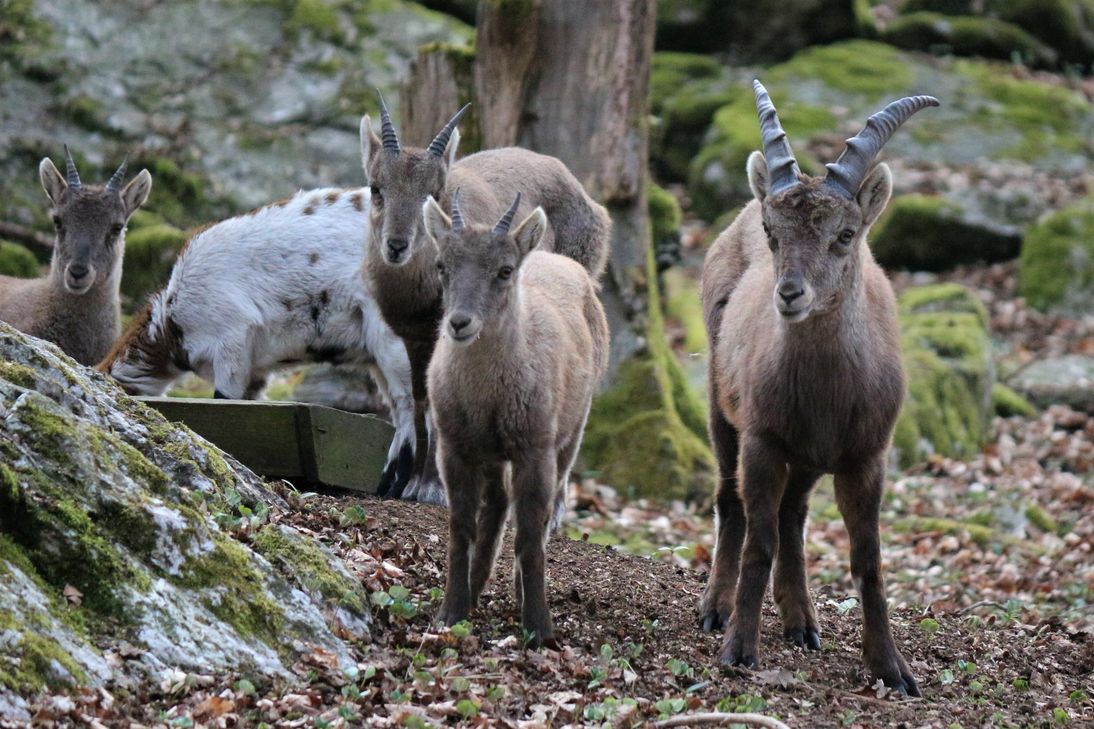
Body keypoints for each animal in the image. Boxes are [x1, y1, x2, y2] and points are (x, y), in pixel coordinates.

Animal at [99, 187, 418, 497]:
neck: (170, 319)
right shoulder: (255, 370)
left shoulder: (231, 339)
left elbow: (225, 402)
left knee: (410, 408)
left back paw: (396, 488)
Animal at [358, 94, 612, 505]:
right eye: (376, 188)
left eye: (433, 193)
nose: (397, 246)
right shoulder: (414, 338)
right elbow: (421, 401)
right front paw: (411, 485)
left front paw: (432, 488)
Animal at [422, 190, 609, 648]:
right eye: (442, 265)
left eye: (504, 270)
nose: (459, 323)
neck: (488, 395)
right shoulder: (454, 445)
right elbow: (461, 526)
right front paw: (450, 611)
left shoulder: (534, 447)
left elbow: (528, 535)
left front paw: (538, 626)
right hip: (491, 450)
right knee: (496, 504)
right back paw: (476, 586)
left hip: (571, 432)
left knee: (543, 511)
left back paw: (518, 592)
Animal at [698, 81, 938, 696]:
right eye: (772, 233)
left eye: (845, 235)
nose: (789, 294)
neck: (829, 393)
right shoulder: (762, 441)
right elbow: (758, 542)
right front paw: (739, 649)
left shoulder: (868, 456)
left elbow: (868, 558)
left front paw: (893, 669)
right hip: (721, 406)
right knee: (731, 502)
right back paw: (717, 608)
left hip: (807, 457)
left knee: (794, 514)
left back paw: (802, 621)